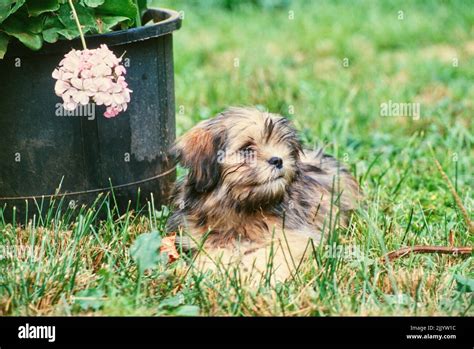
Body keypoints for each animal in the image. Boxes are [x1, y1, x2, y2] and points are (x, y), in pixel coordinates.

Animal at [167, 106, 360, 280]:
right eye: (247, 150)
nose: (278, 160)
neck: (241, 209)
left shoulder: (293, 237)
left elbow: (268, 255)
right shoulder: (198, 237)